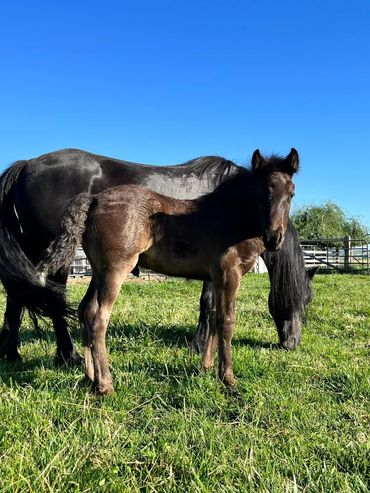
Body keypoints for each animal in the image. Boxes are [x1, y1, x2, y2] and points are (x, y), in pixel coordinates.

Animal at [0, 147, 314, 362]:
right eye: (305, 300)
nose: (293, 342)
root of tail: (27, 165)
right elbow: (208, 305)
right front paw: (198, 346)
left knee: (17, 298)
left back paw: (12, 354)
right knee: (53, 301)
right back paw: (69, 355)